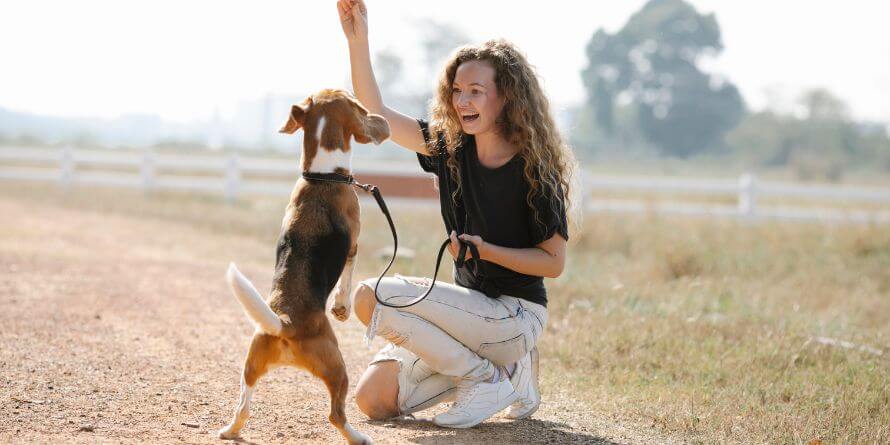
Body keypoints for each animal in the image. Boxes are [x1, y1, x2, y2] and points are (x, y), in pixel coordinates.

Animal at [216, 88, 388, 442]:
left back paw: (229, 430)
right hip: (338, 367)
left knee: (243, 406)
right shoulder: (353, 245)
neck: (321, 176)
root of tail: (285, 322)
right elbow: (347, 277)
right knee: (335, 415)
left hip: (250, 365)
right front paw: (341, 308)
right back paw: (358, 437)